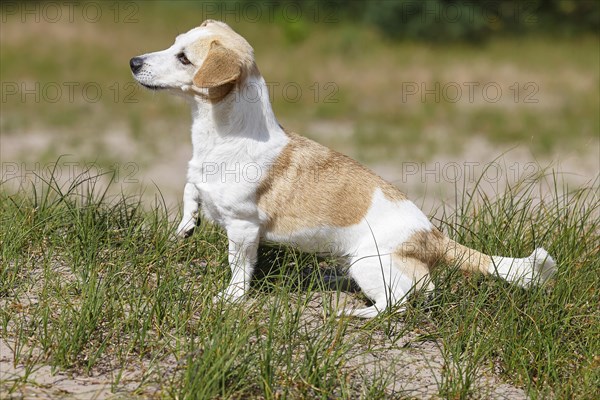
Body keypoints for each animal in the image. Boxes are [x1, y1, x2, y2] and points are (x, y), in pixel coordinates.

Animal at [129, 19, 556, 318]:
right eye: (173, 44)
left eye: (184, 58)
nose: (133, 61)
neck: (219, 137)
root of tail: (432, 236)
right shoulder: (199, 181)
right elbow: (191, 188)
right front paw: (187, 224)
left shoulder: (244, 228)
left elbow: (240, 269)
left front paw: (231, 297)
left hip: (371, 265)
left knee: (406, 298)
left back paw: (359, 314)